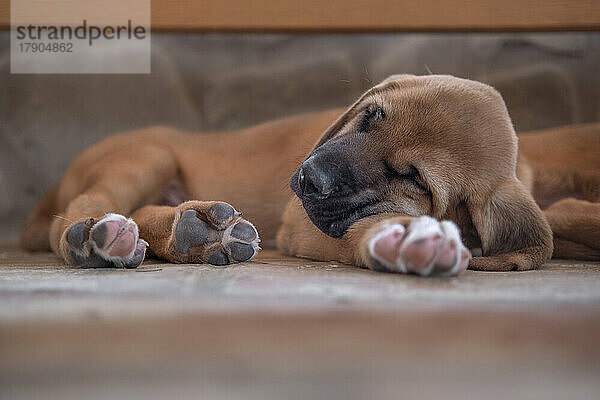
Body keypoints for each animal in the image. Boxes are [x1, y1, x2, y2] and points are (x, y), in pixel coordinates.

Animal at [19, 74, 600, 276]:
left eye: (413, 177)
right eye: (372, 116)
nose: (309, 179)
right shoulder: (303, 222)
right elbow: (359, 229)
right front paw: (404, 237)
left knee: (142, 213)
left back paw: (200, 232)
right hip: (146, 157)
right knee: (76, 217)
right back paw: (98, 238)